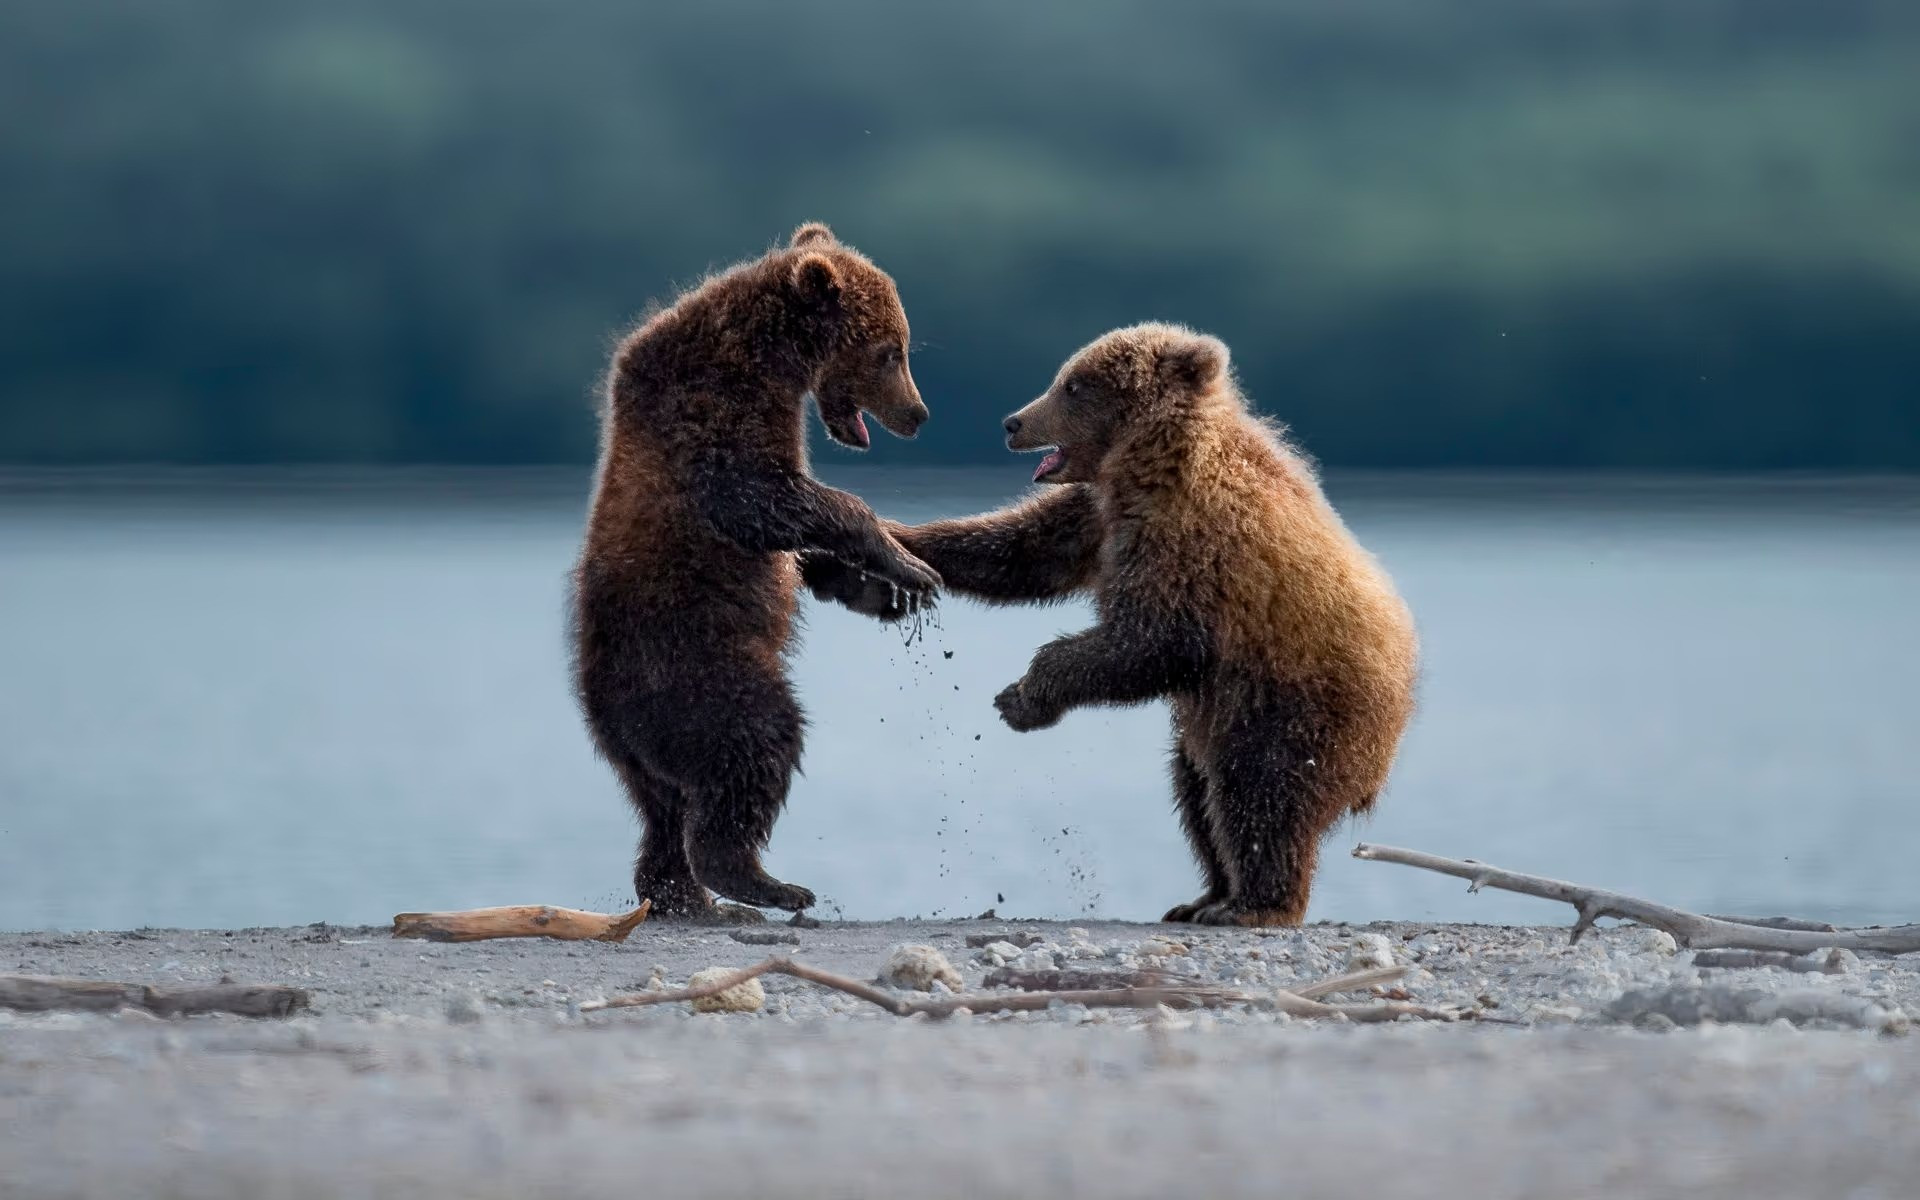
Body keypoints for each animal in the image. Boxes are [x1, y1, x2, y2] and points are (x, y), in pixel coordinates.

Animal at [572, 222, 941, 921]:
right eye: (891, 352)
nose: (919, 414)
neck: (770, 362)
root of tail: (606, 712)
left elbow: (797, 546)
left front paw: (881, 590)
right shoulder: (709, 421)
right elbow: (770, 500)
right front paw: (909, 565)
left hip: (641, 749)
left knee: (663, 812)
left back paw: (688, 896)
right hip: (701, 672)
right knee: (755, 744)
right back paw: (763, 882)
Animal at [807, 322, 1418, 926]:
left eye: (1073, 385)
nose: (1013, 422)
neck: (1145, 463)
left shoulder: (1188, 542)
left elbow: (1150, 642)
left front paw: (1022, 697)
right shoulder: (1098, 515)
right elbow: (1018, 550)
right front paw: (866, 551)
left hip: (1289, 706)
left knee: (1260, 796)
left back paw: (1253, 905)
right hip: (1218, 718)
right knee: (1196, 792)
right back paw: (1204, 897)